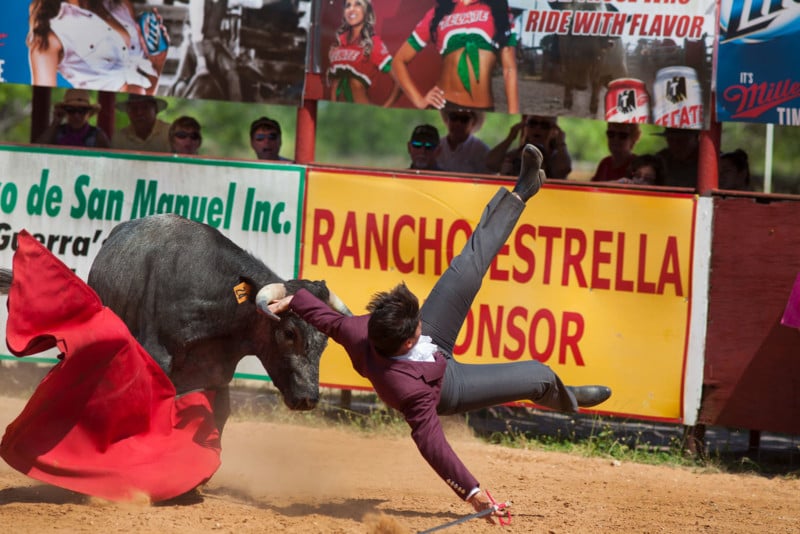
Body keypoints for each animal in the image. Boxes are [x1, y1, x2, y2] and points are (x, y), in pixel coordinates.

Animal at [2, 215, 350, 436]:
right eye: (289, 333)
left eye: (325, 341)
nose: (308, 398)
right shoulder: (157, 358)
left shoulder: (216, 373)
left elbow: (217, 416)